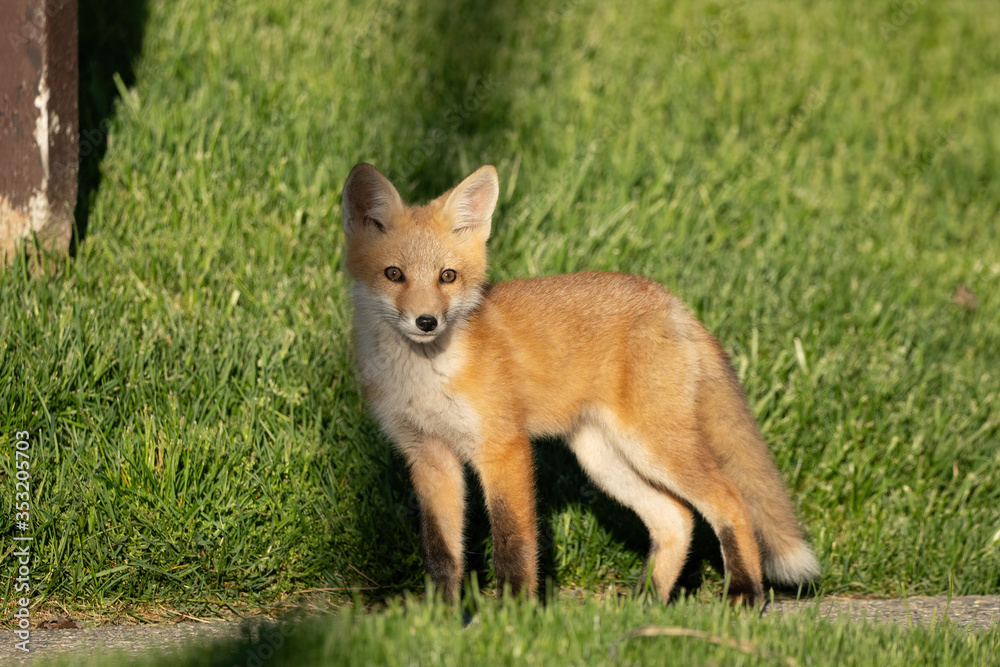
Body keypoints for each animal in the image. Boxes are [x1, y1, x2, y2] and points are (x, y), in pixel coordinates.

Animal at [340, 163, 816, 604]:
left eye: (447, 276)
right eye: (394, 274)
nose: (427, 322)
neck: (425, 376)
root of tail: (670, 300)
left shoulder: (503, 447)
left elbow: (513, 543)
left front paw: (511, 614)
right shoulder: (429, 456)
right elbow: (441, 551)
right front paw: (439, 616)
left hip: (654, 445)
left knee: (730, 501)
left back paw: (744, 594)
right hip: (603, 457)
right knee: (676, 518)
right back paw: (645, 604)